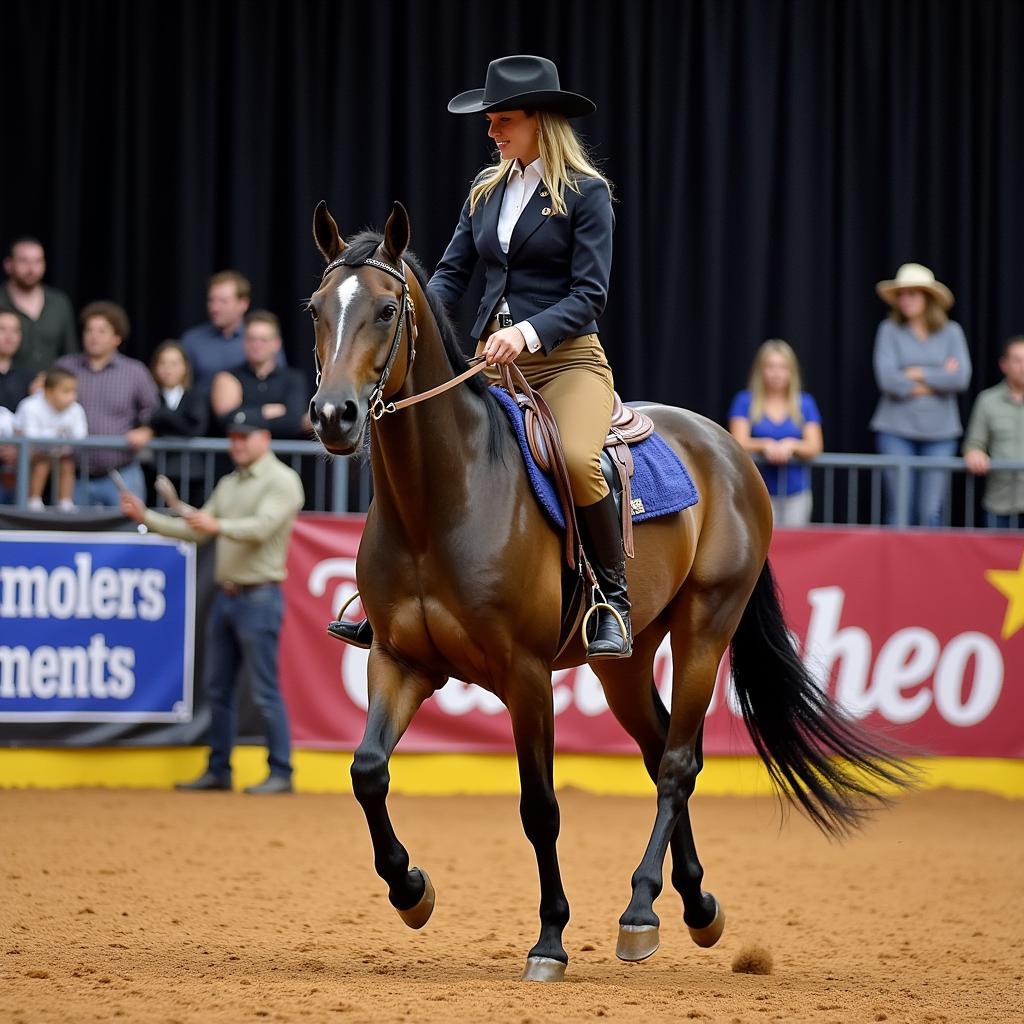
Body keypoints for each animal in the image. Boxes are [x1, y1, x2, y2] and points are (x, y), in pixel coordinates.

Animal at [303, 201, 913, 983]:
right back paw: (696, 906)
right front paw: (411, 890)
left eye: (386, 309)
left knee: (679, 763)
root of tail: (729, 449)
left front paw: (549, 941)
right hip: (621, 660)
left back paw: (641, 911)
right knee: (659, 753)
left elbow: (540, 808)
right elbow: (368, 772)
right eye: (316, 308)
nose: (334, 416)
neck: (441, 501)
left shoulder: (526, 677)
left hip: (705, 627)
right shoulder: (400, 661)